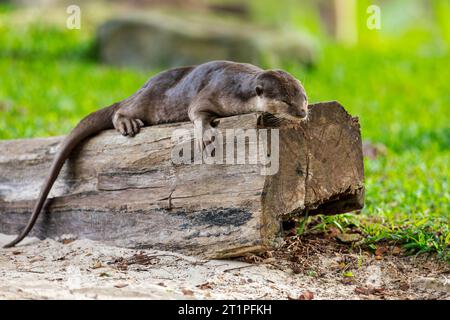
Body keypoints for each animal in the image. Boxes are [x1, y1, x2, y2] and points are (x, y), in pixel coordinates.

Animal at [3, 60, 308, 250]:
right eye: (285, 101)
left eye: (303, 97)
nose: (303, 112)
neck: (240, 89)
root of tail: (140, 88)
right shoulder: (214, 93)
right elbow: (196, 113)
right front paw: (206, 134)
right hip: (147, 101)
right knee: (119, 110)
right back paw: (127, 122)